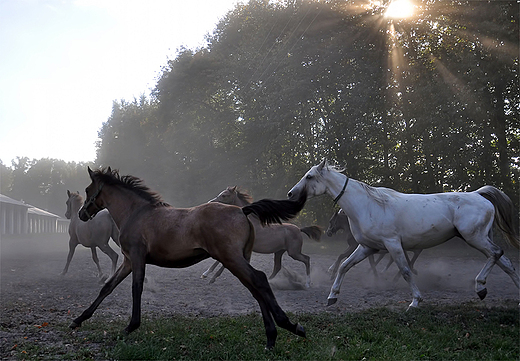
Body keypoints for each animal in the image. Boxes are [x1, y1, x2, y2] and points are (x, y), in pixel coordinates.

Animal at [70, 167, 306, 350]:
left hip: (231, 258)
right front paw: (78, 320)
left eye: (88, 190)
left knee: (260, 280)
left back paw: (290, 326)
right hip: (239, 259)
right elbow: (107, 287)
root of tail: (243, 211)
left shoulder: (137, 258)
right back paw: (271, 338)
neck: (136, 214)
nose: (81, 214)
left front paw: (131, 326)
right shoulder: (128, 261)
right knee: (255, 289)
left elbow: (136, 288)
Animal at [288, 159, 520, 308]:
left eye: (309, 176)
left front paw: (416, 301)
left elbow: (405, 270)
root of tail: (479, 194)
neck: (368, 205)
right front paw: (332, 296)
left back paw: (480, 286)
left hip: (475, 237)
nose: (291, 194)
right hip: (479, 238)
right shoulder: (367, 247)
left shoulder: (392, 244)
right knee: (505, 262)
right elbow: (344, 266)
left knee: (496, 254)